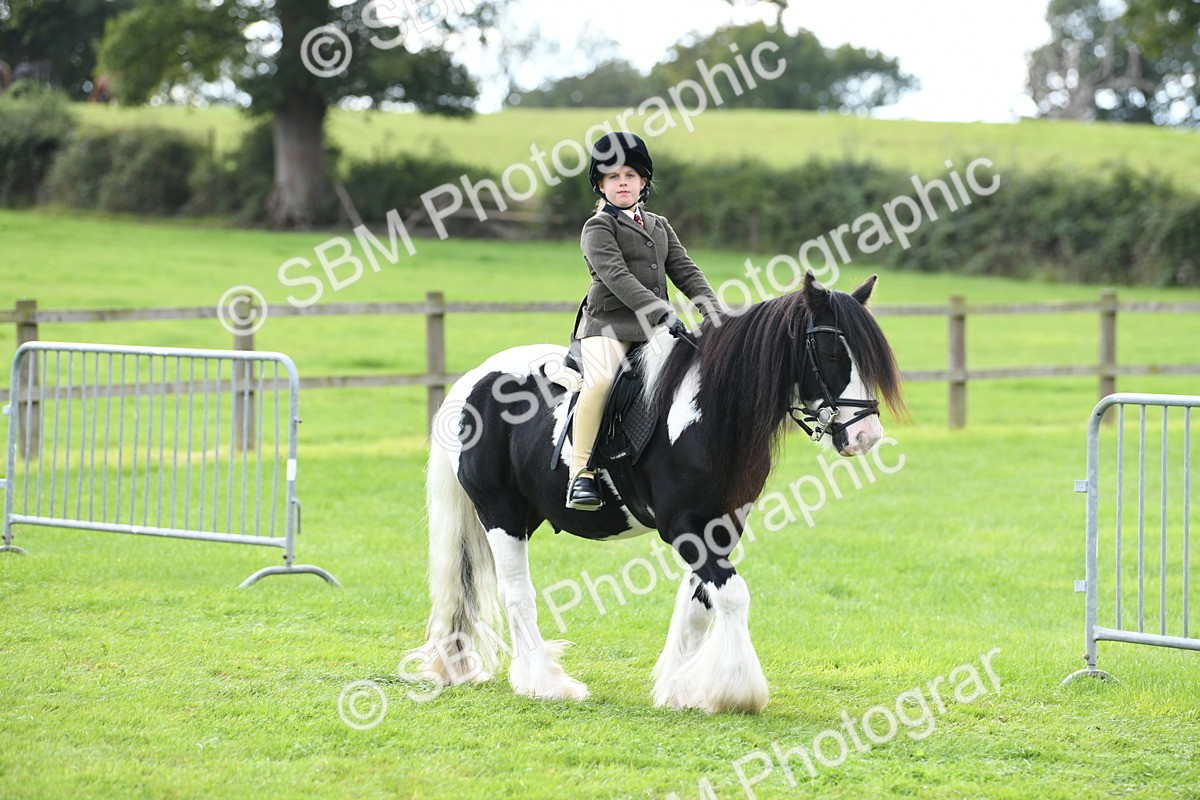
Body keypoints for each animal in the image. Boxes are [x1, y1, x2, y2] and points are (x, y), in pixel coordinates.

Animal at [407, 272, 905, 713]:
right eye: (833, 350)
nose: (866, 436)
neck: (711, 410)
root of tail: (472, 380)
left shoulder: (723, 525)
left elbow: (701, 603)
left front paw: (682, 691)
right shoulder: (684, 527)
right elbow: (733, 594)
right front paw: (736, 693)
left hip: (522, 515)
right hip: (500, 513)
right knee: (517, 594)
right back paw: (545, 684)